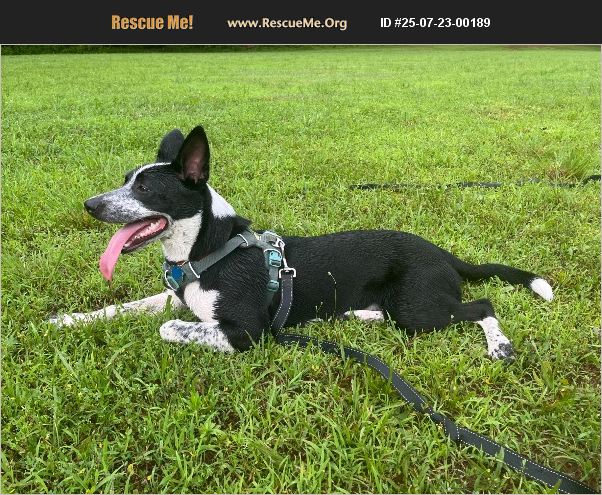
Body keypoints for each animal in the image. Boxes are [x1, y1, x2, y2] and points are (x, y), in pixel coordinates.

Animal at [50, 125, 553, 360]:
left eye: (146, 190)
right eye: (125, 180)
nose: (90, 205)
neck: (206, 252)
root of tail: (441, 253)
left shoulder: (245, 332)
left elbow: (169, 327)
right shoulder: (177, 298)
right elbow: (129, 307)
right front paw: (68, 320)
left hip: (417, 310)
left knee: (483, 305)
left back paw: (499, 345)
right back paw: (360, 314)